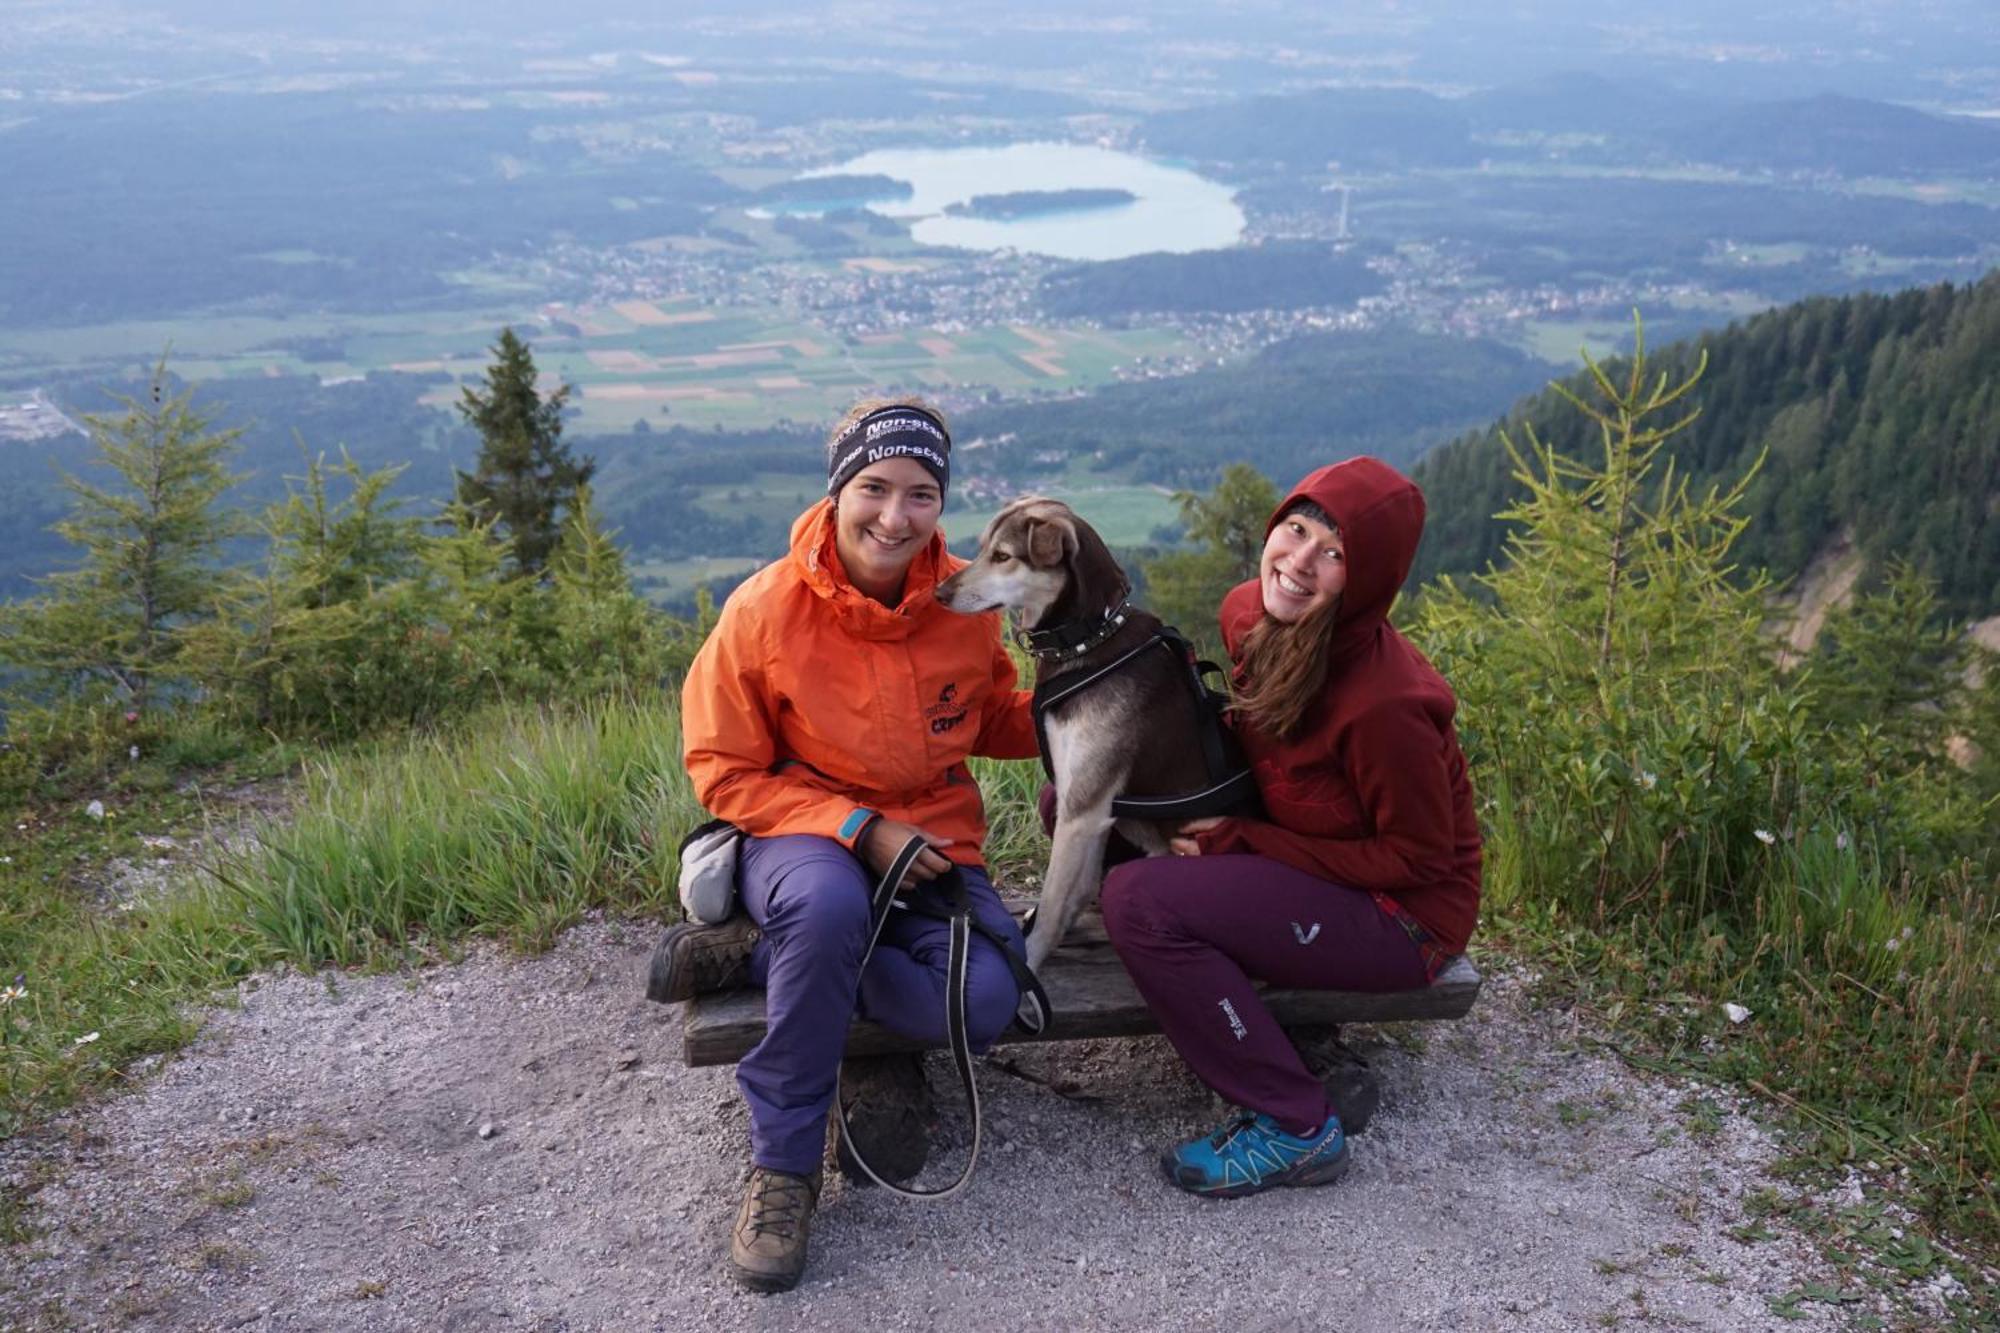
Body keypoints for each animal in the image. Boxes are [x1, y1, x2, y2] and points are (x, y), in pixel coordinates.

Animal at [936, 492, 1232, 972]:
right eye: (982, 549)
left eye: (1002, 556)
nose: (939, 593)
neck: (1090, 637)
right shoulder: (1087, 809)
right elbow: (1074, 893)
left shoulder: (1083, 808)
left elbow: (1055, 901)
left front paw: (1030, 963)